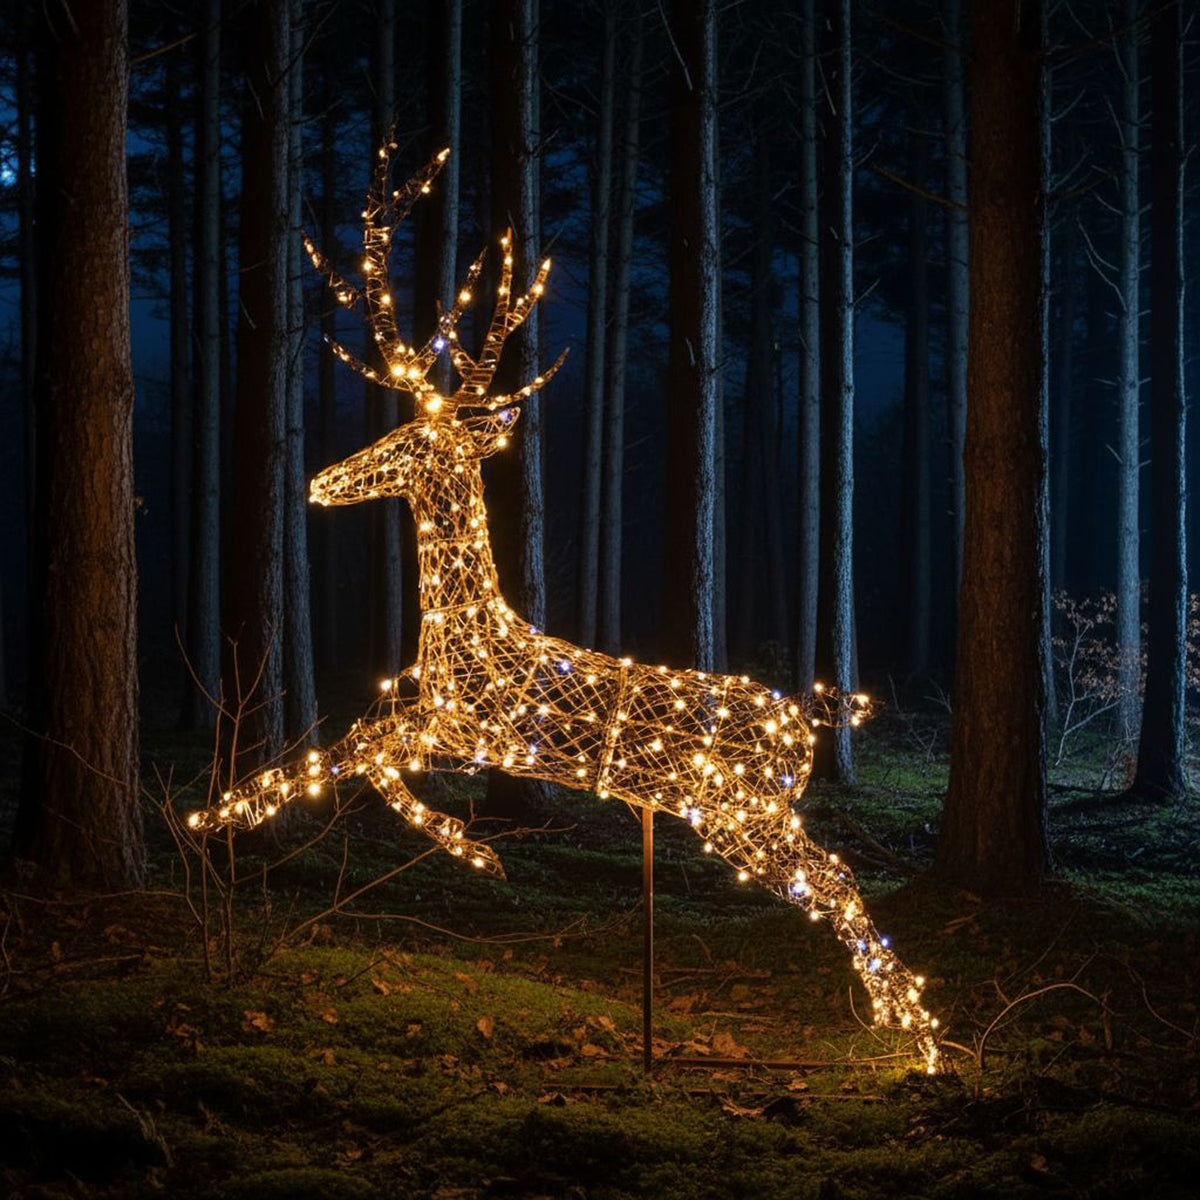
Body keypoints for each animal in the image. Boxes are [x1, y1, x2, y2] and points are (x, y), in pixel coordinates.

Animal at [186, 142, 940, 1072]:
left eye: (412, 438)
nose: (319, 482)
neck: (463, 634)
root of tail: (801, 717)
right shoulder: (432, 716)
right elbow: (354, 754)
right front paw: (223, 815)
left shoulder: (458, 722)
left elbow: (348, 757)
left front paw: (218, 816)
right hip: (747, 811)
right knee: (835, 881)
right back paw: (900, 1021)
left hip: (742, 811)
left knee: (833, 880)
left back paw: (916, 1033)